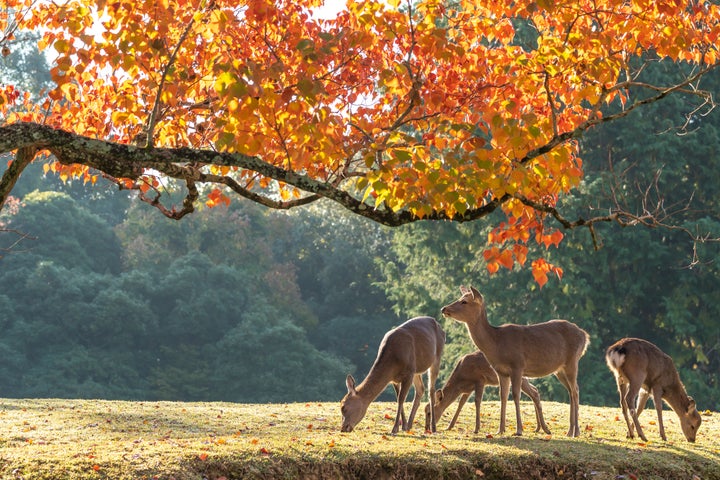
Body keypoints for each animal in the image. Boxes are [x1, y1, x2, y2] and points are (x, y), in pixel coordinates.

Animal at [422, 348, 552, 436]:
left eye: (429, 412)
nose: (427, 428)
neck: (461, 379)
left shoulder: (480, 380)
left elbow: (477, 401)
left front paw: (476, 428)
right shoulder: (468, 389)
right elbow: (461, 404)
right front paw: (449, 427)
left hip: (519, 376)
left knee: (534, 393)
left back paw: (544, 428)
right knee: (535, 391)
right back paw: (538, 428)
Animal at [438, 286, 592, 436]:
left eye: (464, 301)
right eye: (460, 298)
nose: (444, 309)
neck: (497, 344)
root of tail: (585, 336)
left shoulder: (517, 365)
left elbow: (516, 395)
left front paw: (519, 430)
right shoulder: (501, 371)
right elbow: (503, 396)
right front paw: (500, 430)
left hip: (572, 361)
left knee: (575, 390)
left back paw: (575, 431)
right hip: (559, 370)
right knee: (571, 391)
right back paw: (570, 431)